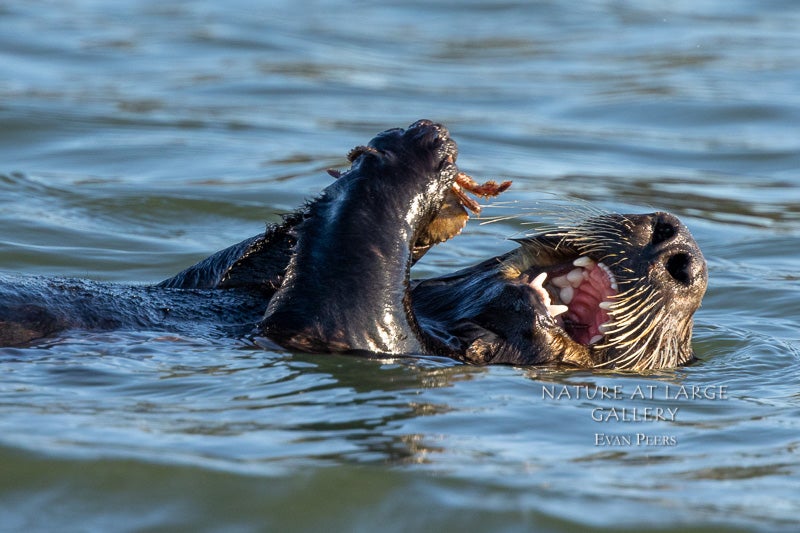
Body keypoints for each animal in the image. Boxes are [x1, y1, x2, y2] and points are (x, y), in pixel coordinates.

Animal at [0, 120, 707, 370]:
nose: (683, 250)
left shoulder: (352, 337)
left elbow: (350, 303)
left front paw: (420, 155)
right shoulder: (218, 287)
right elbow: (233, 267)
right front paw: (429, 166)